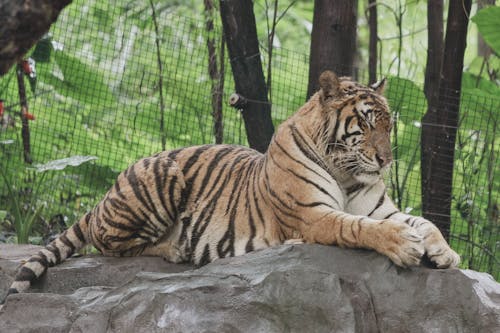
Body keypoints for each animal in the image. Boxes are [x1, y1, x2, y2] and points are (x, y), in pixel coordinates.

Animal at [0, 70, 460, 304]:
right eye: (364, 124)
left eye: (388, 125)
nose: (385, 160)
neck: (347, 173)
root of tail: (105, 194)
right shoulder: (312, 216)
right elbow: (357, 227)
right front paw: (403, 245)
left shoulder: (382, 208)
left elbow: (425, 221)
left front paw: (445, 253)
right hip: (159, 178)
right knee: (108, 243)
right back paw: (174, 248)